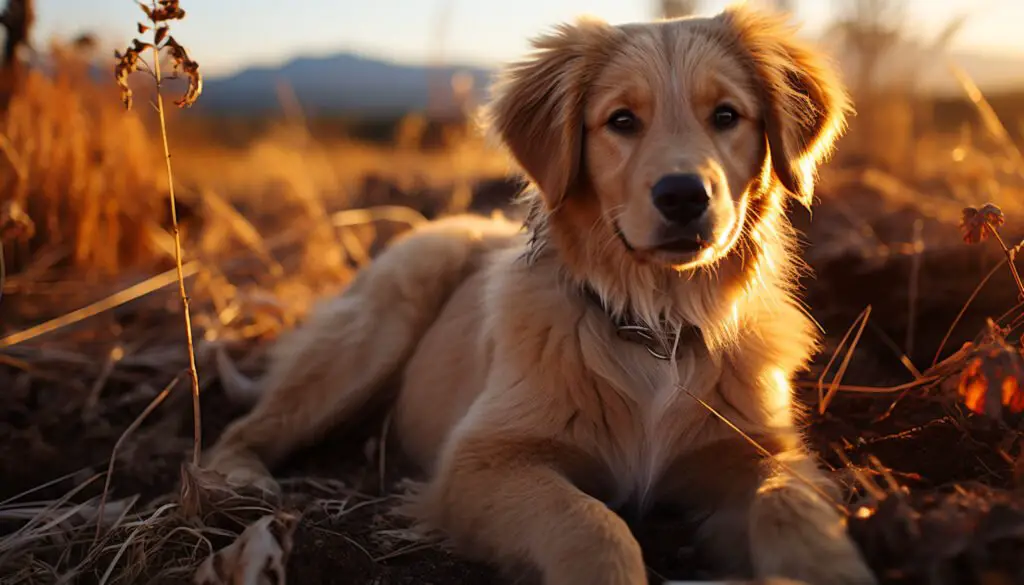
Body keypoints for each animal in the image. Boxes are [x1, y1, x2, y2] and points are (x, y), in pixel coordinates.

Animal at [203, 5, 876, 585]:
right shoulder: (481, 460)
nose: (684, 195)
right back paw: (238, 483)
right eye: (622, 120)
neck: (655, 322)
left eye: (727, 115)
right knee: (240, 429)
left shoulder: (760, 451)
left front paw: (829, 567)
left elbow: (793, 505)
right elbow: (591, 524)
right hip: (377, 323)